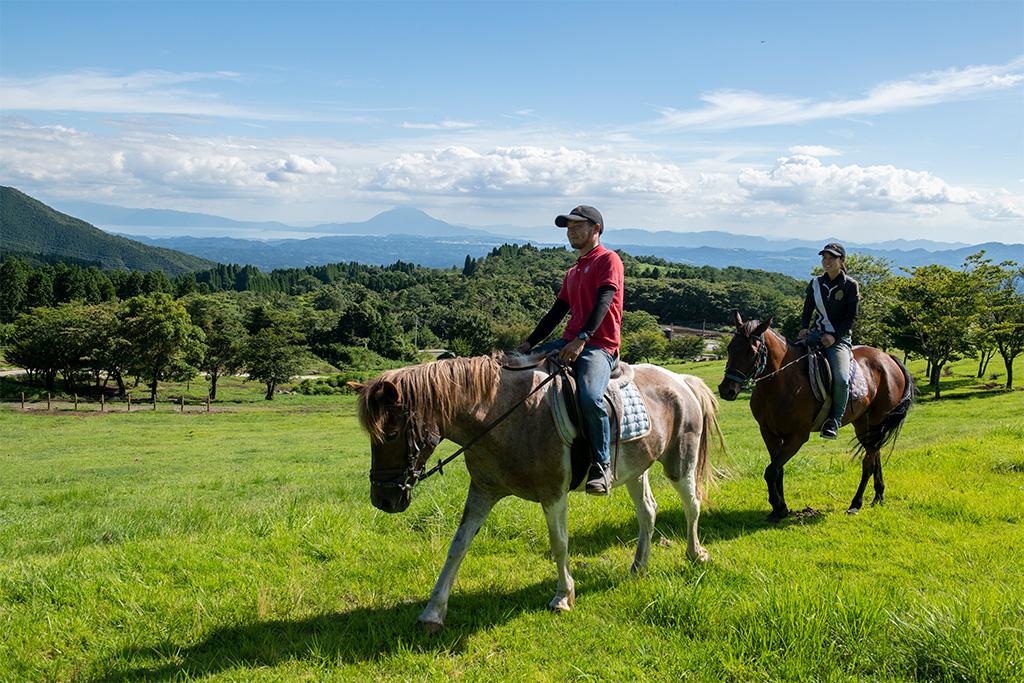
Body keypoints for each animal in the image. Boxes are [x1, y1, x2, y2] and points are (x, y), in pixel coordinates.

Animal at [348, 356, 724, 634]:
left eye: (391, 433)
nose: (383, 500)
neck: (503, 415)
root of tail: (681, 380)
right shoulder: (483, 492)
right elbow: (458, 546)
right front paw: (432, 612)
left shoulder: (553, 494)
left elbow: (559, 544)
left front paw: (563, 596)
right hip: (636, 468)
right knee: (648, 511)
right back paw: (638, 567)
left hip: (680, 460)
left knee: (691, 504)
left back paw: (695, 554)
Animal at [720, 313, 913, 520]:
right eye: (730, 348)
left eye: (752, 352)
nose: (726, 390)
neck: (781, 381)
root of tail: (888, 358)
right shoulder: (769, 433)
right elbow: (777, 469)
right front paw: (780, 508)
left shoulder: (797, 437)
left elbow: (771, 471)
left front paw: (778, 506)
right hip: (864, 424)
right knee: (875, 454)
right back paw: (878, 496)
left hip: (877, 421)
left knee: (868, 461)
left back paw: (856, 503)